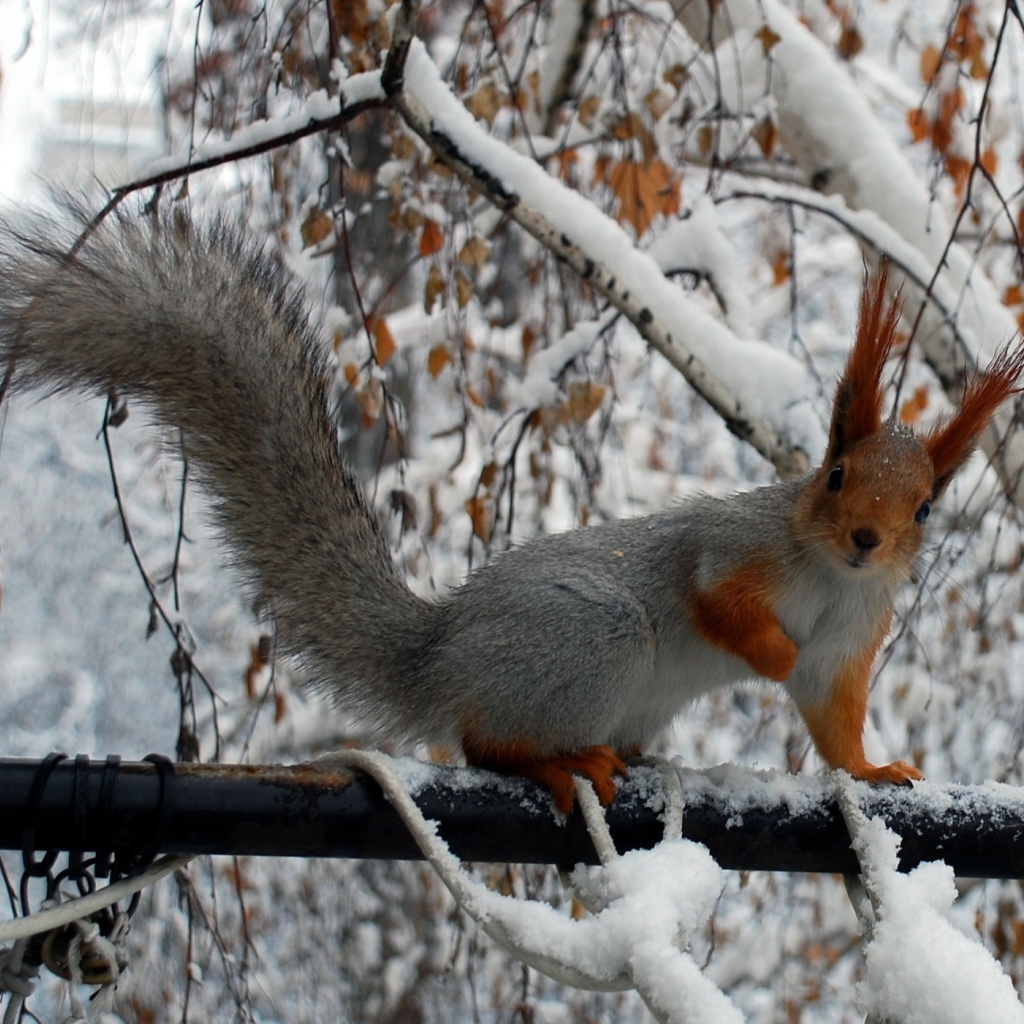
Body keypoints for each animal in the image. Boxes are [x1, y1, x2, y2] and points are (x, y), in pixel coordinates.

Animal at [0, 204, 1021, 813]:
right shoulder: (732, 545)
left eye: (926, 509)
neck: (824, 574)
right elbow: (716, 598)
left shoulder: (851, 635)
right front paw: (765, 651)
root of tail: (442, 652)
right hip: (594, 639)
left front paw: (874, 768)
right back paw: (559, 761)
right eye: (836, 475)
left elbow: (831, 716)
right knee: (483, 740)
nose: (865, 541)